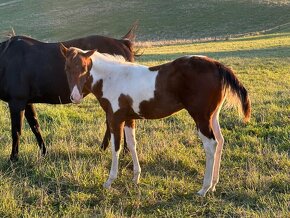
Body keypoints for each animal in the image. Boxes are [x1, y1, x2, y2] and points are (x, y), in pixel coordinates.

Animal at [0, 23, 138, 161]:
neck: (7, 60)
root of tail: (122, 43)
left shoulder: (17, 102)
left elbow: (16, 131)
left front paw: (13, 158)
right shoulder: (27, 102)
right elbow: (35, 127)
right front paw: (44, 152)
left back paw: (124, 151)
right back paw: (106, 149)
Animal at [60, 43, 250, 196]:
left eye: (84, 67)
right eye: (67, 68)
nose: (75, 97)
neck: (111, 78)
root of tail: (217, 65)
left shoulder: (115, 119)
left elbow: (116, 148)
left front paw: (109, 181)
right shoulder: (129, 119)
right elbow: (132, 144)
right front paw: (135, 178)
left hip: (201, 117)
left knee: (211, 145)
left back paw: (204, 188)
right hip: (212, 116)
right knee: (220, 141)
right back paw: (214, 185)